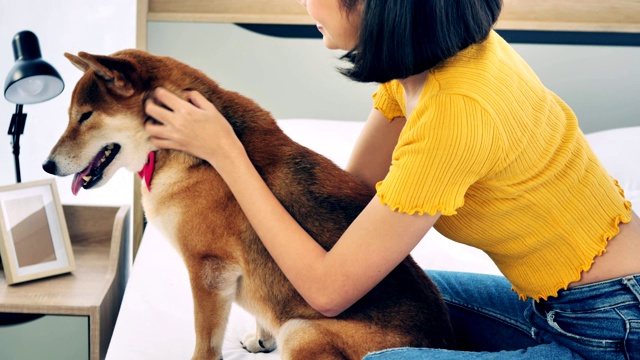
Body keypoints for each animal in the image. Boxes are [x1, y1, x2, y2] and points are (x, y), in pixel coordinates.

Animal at [43, 49, 456, 358]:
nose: (47, 165)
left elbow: (205, 342)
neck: (177, 152)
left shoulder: (208, 270)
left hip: (302, 331)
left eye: (84, 117)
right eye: (70, 116)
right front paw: (260, 338)